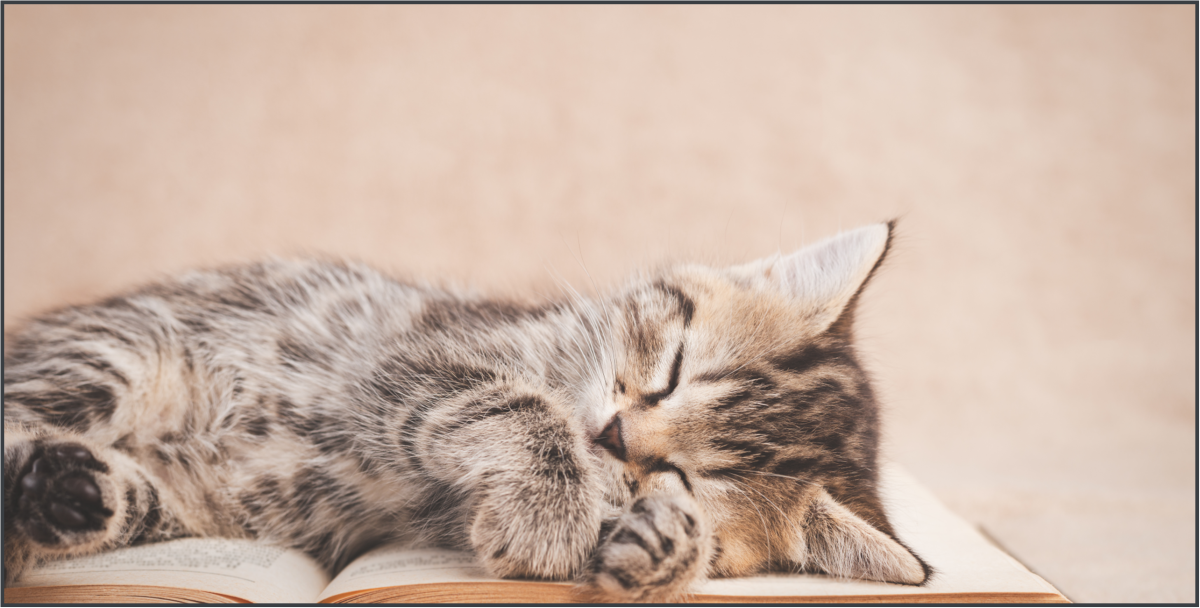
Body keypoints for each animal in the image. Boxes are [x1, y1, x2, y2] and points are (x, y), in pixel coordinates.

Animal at [2, 223, 926, 599]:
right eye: (668, 374)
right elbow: (507, 402)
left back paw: (63, 493)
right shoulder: (409, 357)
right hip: (119, 354)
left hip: (181, 493)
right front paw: (549, 503)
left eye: (681, 475)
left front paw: (663, 547)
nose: (610, 433)